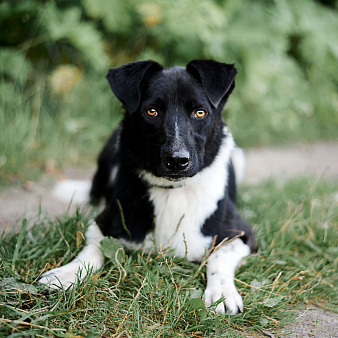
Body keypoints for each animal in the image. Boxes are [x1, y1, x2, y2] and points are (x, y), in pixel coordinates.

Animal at [39, 58, 256, 314]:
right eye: (152, 111)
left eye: (200, 112)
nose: (177, 160)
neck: (172, 192)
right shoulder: (103, 222)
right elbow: (93, 248)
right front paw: (65, 274)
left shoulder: (243, 234)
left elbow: (219, 255)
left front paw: (221, 292)